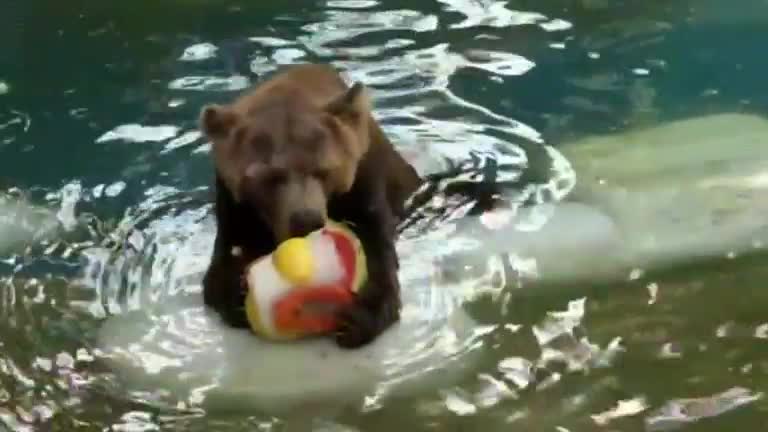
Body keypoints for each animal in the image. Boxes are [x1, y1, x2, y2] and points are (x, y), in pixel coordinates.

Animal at [195, 63, 416, 348]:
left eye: (323, 170)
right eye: (270, 177)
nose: (306, 219)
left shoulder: (367, 184)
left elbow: (378, 248)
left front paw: (357, 319)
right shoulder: (232, 205)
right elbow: (221, 263)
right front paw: (236, 293)